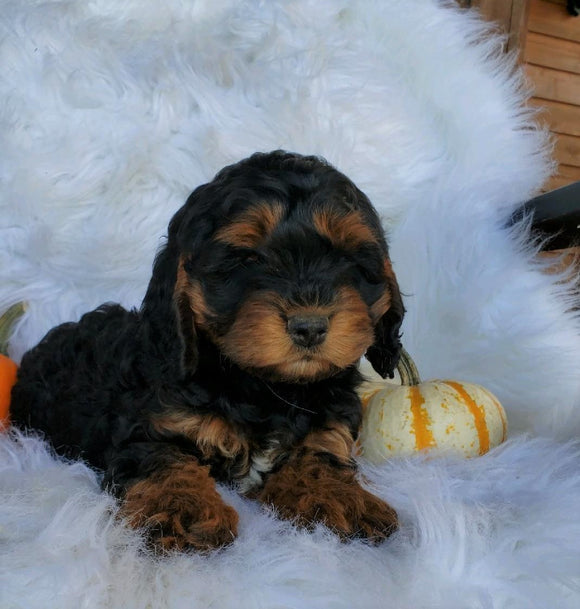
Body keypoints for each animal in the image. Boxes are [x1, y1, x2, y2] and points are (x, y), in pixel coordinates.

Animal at [11, 151, 406, 552]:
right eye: (247, 259)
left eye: (347, 259)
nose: (309, 326)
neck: (266, 388)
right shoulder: (154, 425)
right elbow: (167, 463)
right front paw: (185, 509)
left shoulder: (326, 422)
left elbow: (319, 456)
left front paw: (340, 497)